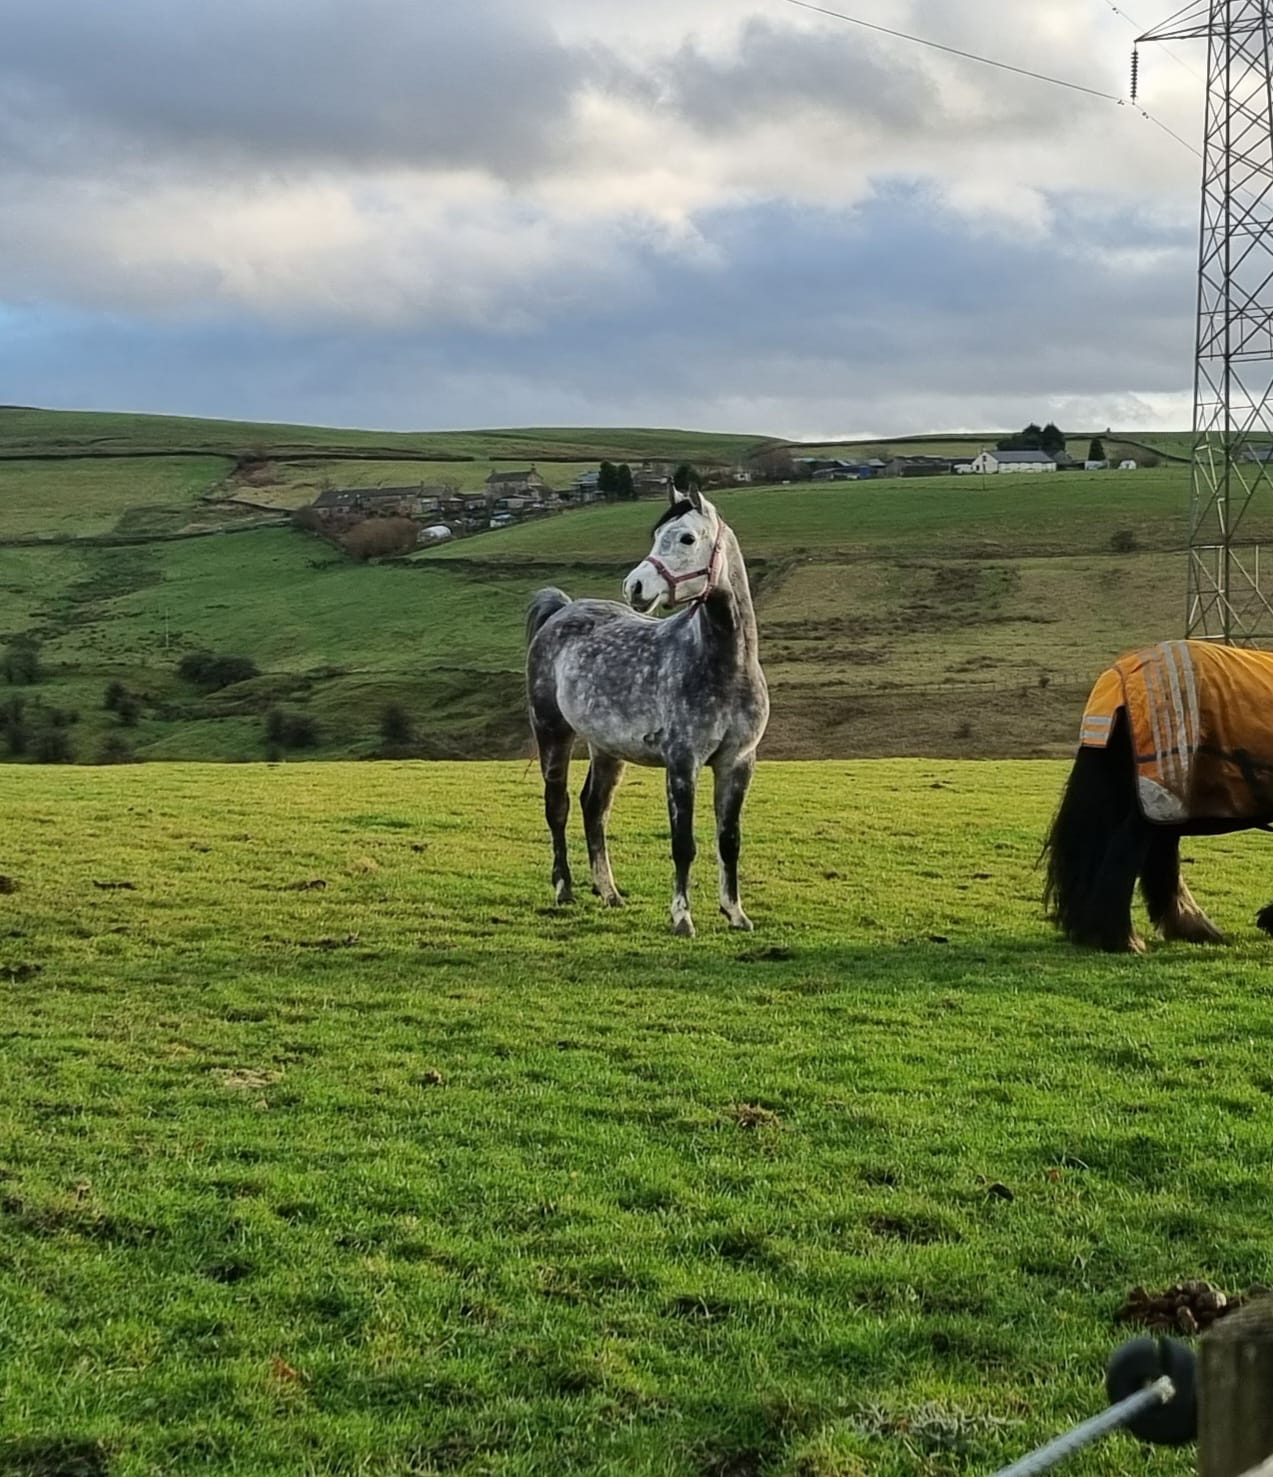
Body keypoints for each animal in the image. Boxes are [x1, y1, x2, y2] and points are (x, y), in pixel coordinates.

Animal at [524, 486, 769, 937]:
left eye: (686, 538)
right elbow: (683, 844)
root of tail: (562, 609)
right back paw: (564, 888)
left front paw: (735, 913)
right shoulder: (683, 763)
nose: (634, 585)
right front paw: (682, 917)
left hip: (606, 749)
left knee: (593, 809)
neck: (725, 666)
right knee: (558, 806)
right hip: (552, 733)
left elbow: (729, 841)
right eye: (656, 535)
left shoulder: (738, 762)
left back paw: (609, 892)